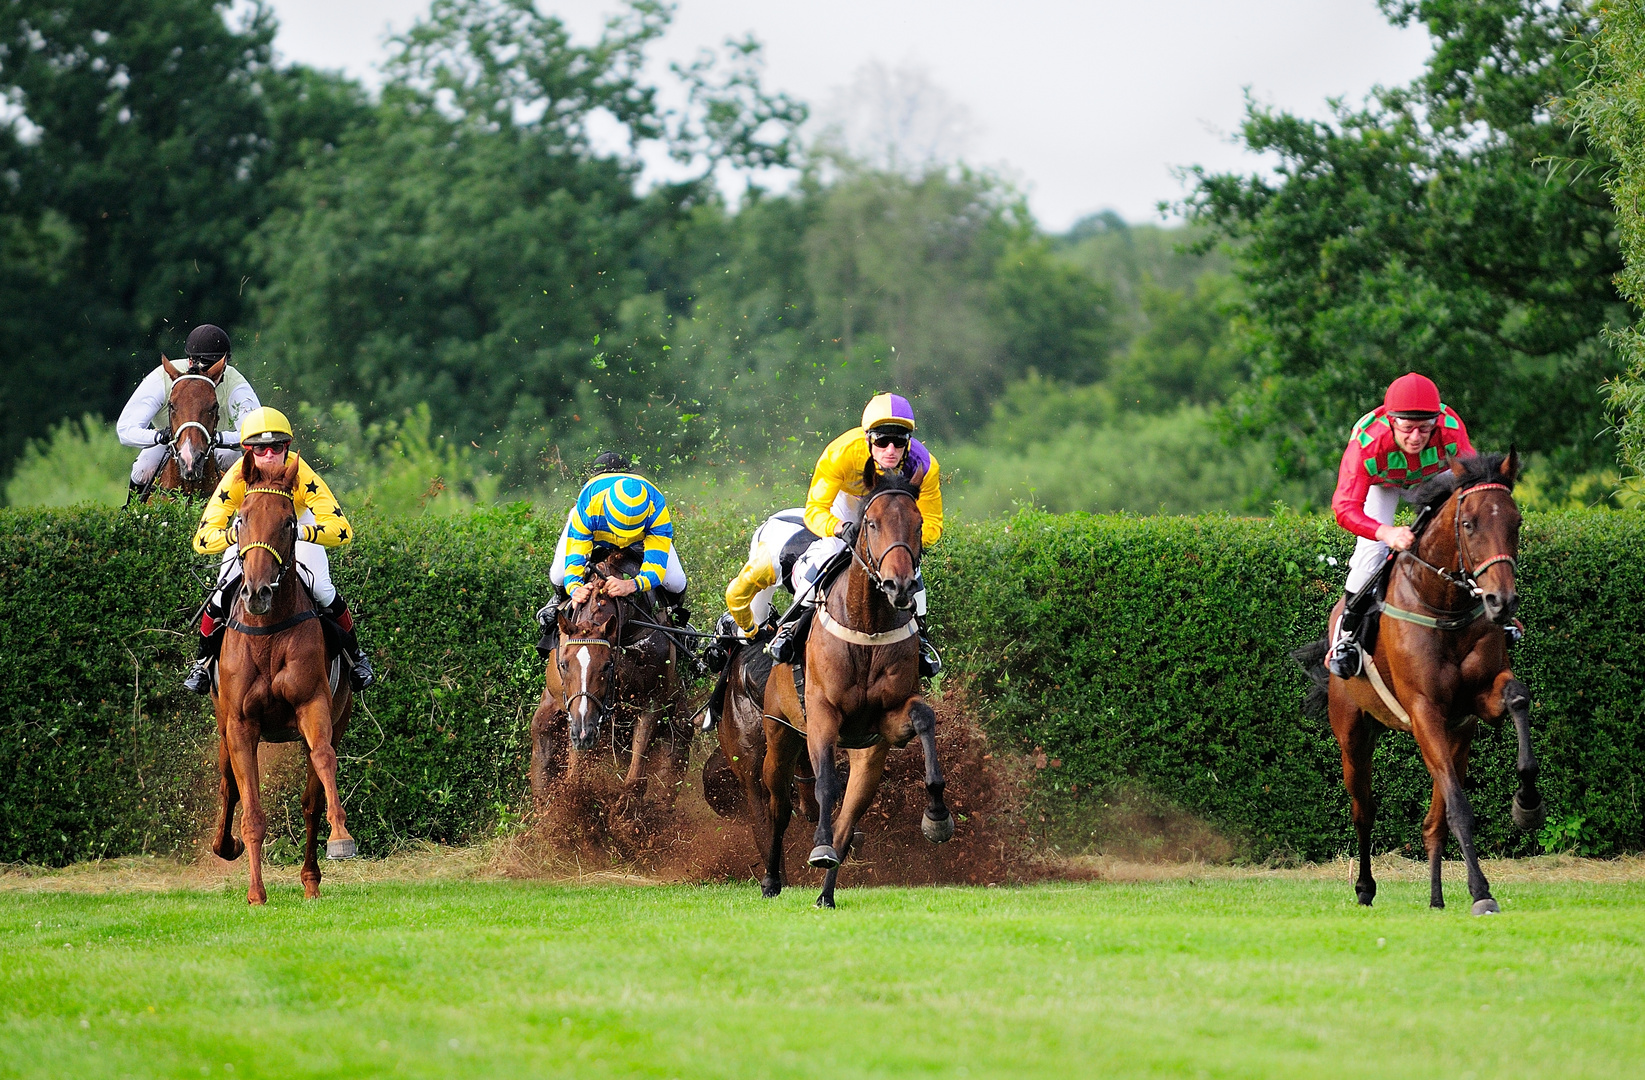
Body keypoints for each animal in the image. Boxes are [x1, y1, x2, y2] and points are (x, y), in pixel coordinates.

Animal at [210, 450, 355, 907]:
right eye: (241, 519)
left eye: (290, 522)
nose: (257, 592)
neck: (268, 632)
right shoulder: (240, 724)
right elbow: (251, 808)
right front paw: (256, 892)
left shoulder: (314, 706)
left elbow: (324, 762)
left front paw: (341, 837)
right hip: (222, 725)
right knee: (228, 785)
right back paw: (224, 846)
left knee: (310, 799)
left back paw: (311, 879)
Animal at [529, 549, 690, 818]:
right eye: (564, 664)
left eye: (607, 665)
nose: (583, 732)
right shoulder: (572, 709)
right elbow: (575, 772)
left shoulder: (652, 701)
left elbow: (636, 774)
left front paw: (625, 814)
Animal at [717, 466, 954, 907]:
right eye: (872, 523)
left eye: (918, 524)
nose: (900, 586)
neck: (867, 626)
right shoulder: (822, 715)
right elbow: (826, 781)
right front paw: (819, 847)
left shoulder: (886, 723)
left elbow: (924, 717)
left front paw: (937, 817)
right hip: (778, 737)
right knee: (776, 806)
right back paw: (773, 879)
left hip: (867, 758)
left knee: (849, 814)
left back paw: (826, 894)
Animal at [1296, 450, 1539, 913]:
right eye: (1469, 524)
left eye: (1516, 522)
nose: (1501, 602)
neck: (1444, 606)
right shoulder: (1425, 710)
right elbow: (1460, 808)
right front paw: (1482, 892)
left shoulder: (1476, 702)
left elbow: (1518, 697)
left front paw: (1526, 804)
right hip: (1353, 734)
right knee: (1364, 810)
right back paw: (1365, 887)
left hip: (1458, 735)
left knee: (1432, 822)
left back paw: (1436, 898)